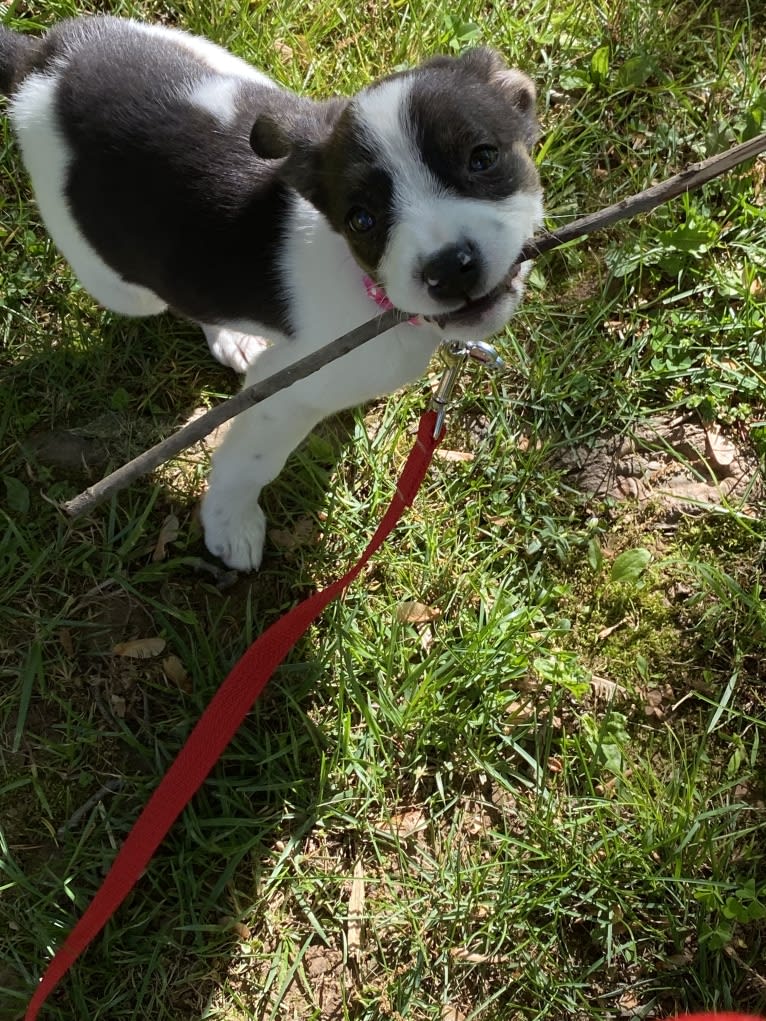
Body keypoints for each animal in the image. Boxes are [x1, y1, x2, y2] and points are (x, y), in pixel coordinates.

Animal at [0, 15, 543, 571]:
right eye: (362, 220)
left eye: (482, 158)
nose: (449, 271)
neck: (373, 291)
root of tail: (43, 58)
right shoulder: (284, 392)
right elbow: (251, 464)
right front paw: (229, 525)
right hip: (118, 280)